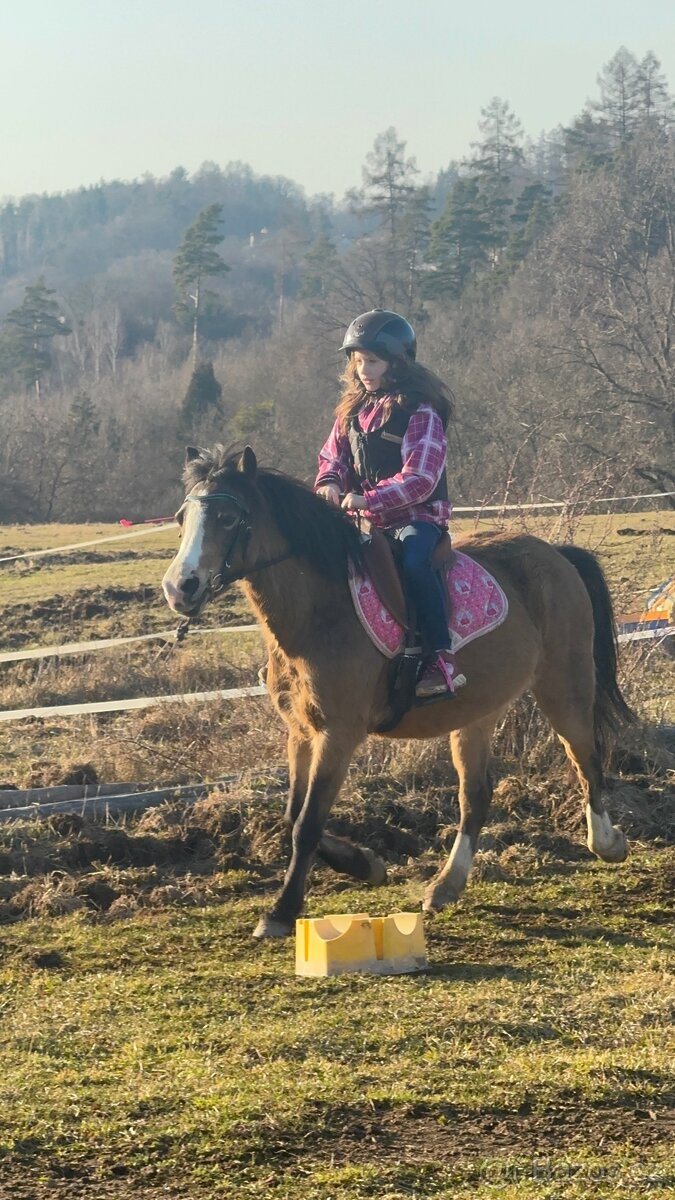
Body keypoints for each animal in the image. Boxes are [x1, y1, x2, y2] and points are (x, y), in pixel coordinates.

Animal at [162, 445, 633, 939]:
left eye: (228, 517)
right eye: (181, 517)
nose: (179, 587)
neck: (319, 612)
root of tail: (556, 554)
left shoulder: (338, 734)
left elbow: (306, 824)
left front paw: (282, 911)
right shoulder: (302, 732)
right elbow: (293, 815)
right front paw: (366, 864)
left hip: (564, 685)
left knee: (586, 760)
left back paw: (607, 842)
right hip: (476, 711)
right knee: (476, 796)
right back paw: (446, 885)